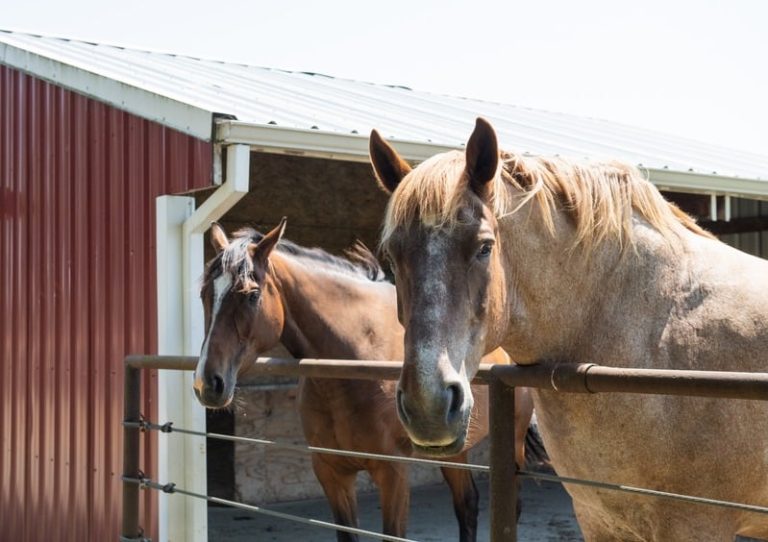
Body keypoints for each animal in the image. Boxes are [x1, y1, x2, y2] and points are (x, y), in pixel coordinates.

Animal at [192, 219, 537, 542]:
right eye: (204, 294)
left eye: (251, 295)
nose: (207, 383)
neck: (355, 360)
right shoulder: (332, 472)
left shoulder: (392, 472)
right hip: (454, 449)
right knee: (467, 504)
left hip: (513, 442)